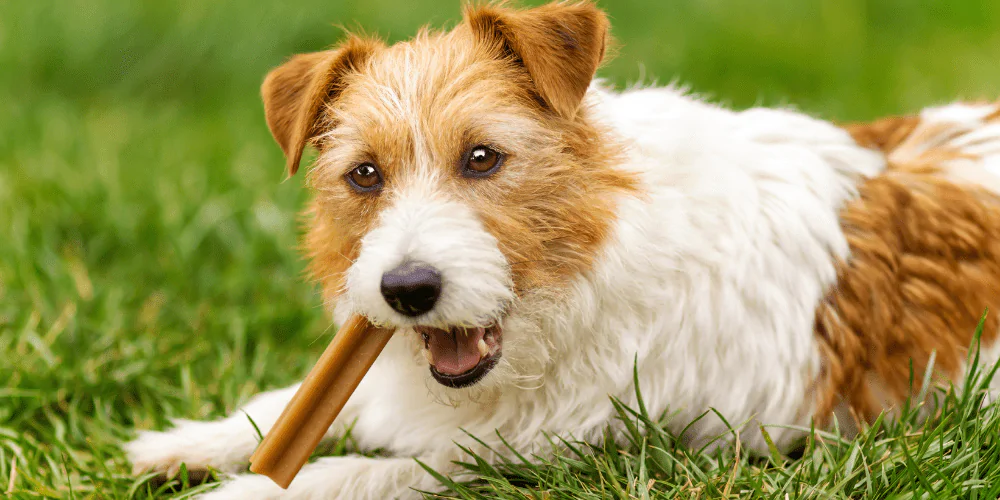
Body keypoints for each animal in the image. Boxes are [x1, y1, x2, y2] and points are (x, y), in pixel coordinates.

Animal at [125, 1, 1000, 498]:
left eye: (483, 158)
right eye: (364, 174)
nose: (407, 289)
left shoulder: (555, 457)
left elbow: (362, 472)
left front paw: (239, 494)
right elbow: (291, 406)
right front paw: (185, 442)